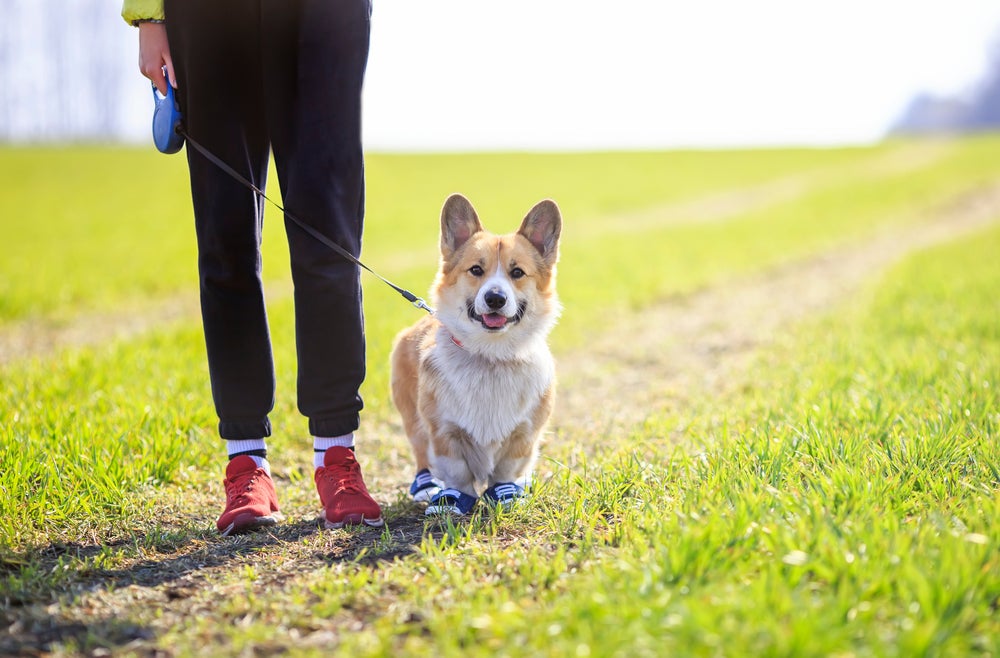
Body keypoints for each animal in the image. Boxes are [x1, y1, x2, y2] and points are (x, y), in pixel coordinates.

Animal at [390, 192, 564, 516]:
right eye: (476, 270)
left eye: (517, 272)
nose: (495, 298)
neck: (491, 356)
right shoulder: (445, 433)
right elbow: (457, 472)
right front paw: (454, 500)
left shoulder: (523, 435)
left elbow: (506, 470)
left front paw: (507, 494)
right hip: (412, 420)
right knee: (421, 453)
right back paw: (426, 487)